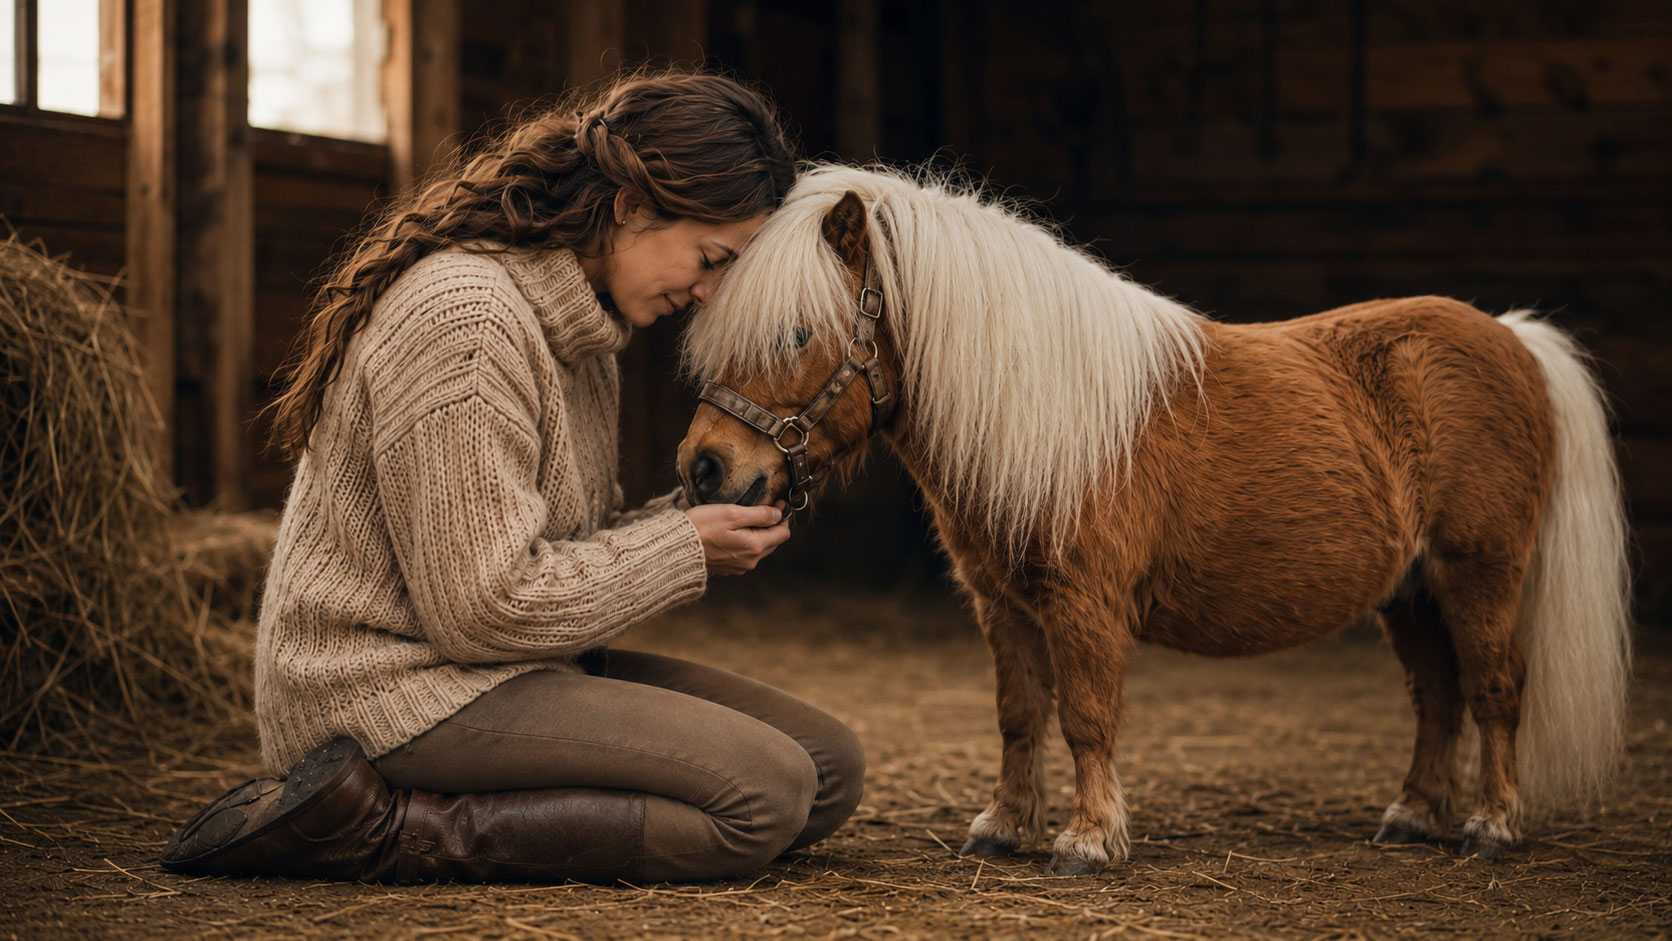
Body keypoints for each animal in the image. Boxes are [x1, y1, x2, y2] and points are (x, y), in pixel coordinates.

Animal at [675, 164, 1632, 876]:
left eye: (797, 333)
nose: (706, 467)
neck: (1045, 409)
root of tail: (1510, 338)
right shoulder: (1002, 604)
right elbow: (1019, 714)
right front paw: (1003, 827)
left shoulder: (1085, 604)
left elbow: (1086, 716)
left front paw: (1088, 841)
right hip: (1411, 590)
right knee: (1437, 695)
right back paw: (1411, 816)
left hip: (1480, 572)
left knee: (1495, 688)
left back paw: (1492, 826)